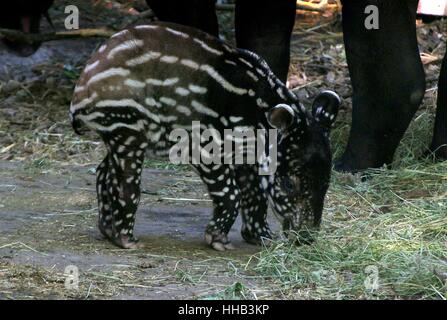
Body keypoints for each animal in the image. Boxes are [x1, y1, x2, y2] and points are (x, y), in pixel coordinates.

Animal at [69, 21, 340, 252]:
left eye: (327, 182)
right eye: (288, 184)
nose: (307, 237)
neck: (256, 107)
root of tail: (82, 87)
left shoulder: (249, 153)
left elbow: (256, 193)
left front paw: (261, 236)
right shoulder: (204, 145)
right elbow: (231, 193)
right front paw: (218, 240)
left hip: (119, 129)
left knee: (104, 170)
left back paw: (107, 230)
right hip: (126, 121)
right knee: (126, 180)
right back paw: (126, 239)